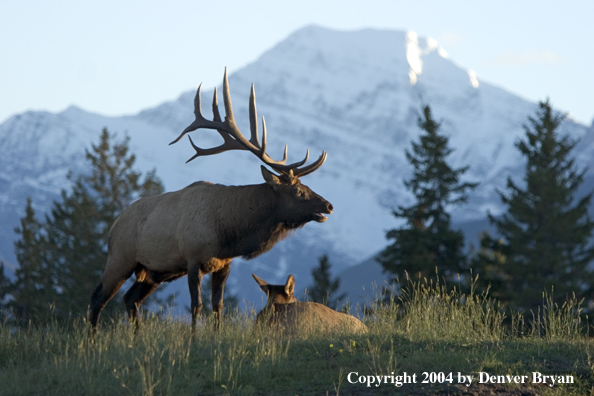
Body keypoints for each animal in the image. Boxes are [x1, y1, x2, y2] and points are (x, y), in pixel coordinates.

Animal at [86, 70, 332, 332]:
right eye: (298, 191)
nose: (328, 205)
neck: (227, 233)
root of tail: (113, 225)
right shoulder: (193, 259)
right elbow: (197, 306)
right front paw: (194, 337)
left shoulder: (224, 264)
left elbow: (218, 306)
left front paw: (216, 334)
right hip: (121, 257)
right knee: (98, 297)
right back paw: (93, 338)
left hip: (154, 272)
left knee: (130, 298)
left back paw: (137, 336)